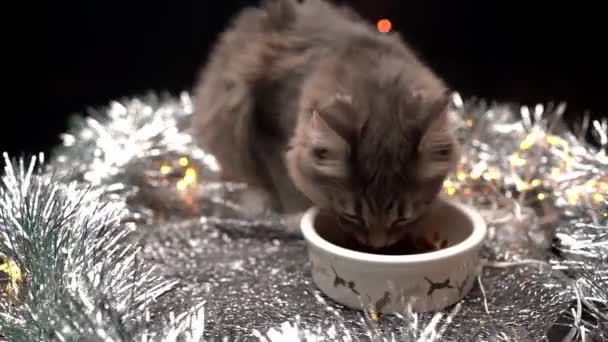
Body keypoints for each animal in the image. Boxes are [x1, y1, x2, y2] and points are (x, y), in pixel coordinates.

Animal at [192, 0, 458, 248]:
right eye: (352, 216)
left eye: (403, 219)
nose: (377, 245)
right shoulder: (268, 126)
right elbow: (287, 182)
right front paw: (297, 217)